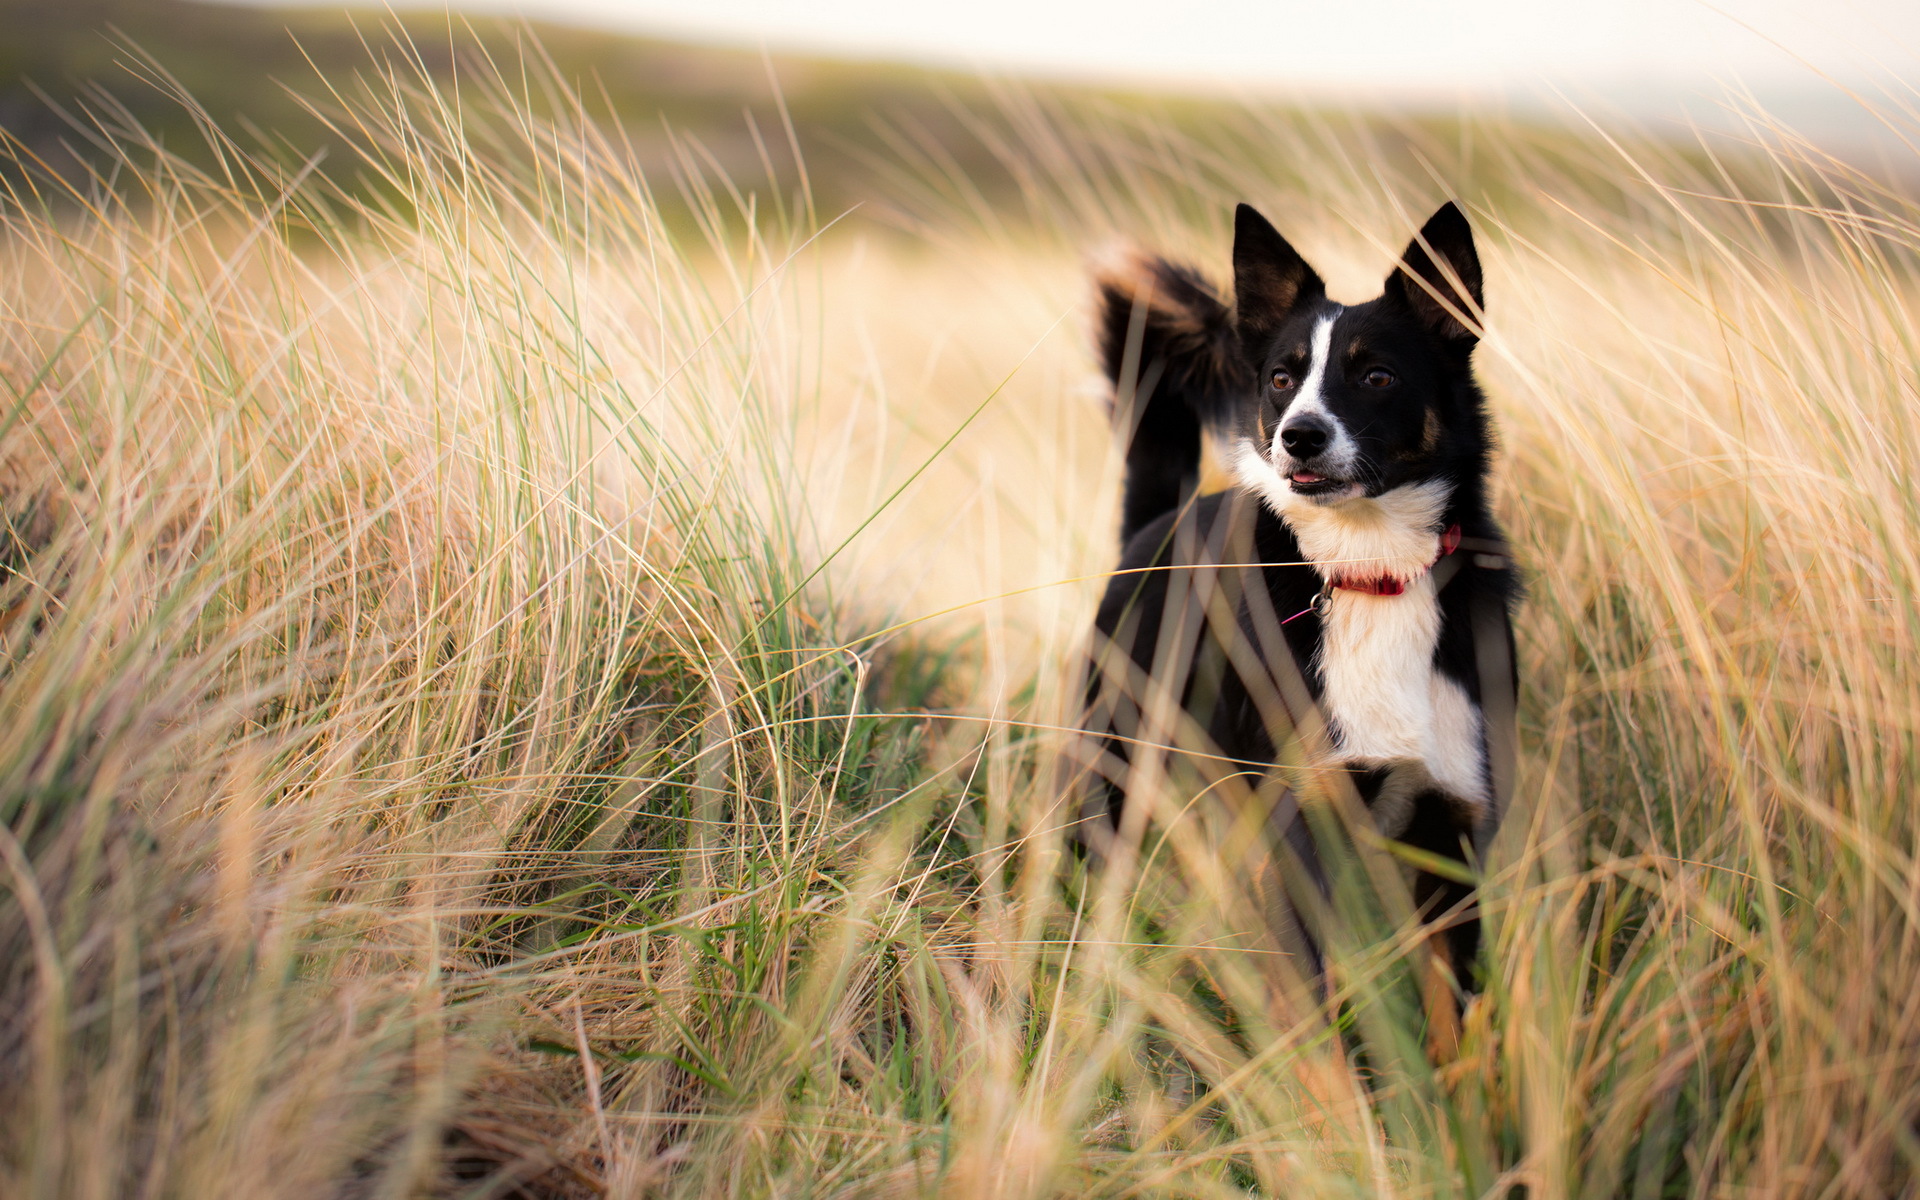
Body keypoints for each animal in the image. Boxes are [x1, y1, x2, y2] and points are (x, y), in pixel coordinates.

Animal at [1075, 203, 1520, 998]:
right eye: (1282, 378)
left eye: (1377, 375)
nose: (1299, 436)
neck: (1372, 571)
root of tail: (1162, 522)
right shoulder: (1302, 820)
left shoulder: (1457, 826)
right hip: (1116, 762)